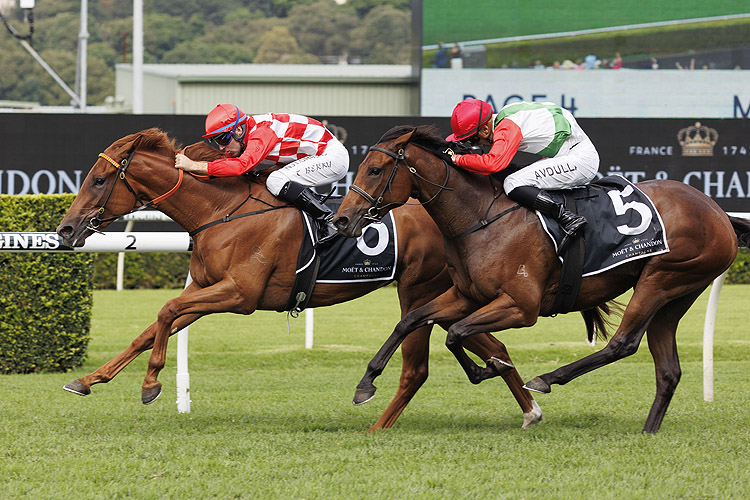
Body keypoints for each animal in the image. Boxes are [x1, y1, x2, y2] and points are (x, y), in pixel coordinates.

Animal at [55, 128, 544, 430]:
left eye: (98, 179)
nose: (65, 230)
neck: (220, 211)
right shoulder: (206, 289)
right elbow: (154, 325)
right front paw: (89, 379)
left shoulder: (239, 294)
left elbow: (166, 310)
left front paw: (151, 384)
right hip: (451, 296)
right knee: (493, 346)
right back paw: (530, 409)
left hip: (420, 289)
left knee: (420, 364)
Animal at [336, 125, 750, 434]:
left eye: (374, 170)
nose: (341, 219)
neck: (482, 218)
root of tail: (718, 211)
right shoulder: (466, 295)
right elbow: (411, 319)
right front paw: (365, 384)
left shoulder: (521, 307)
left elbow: (455, 333)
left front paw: (487, 369)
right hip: (676, 295)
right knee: (667, 369)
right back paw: (648, 431)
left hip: (662, 278)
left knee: (623, 344)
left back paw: (547, 378)